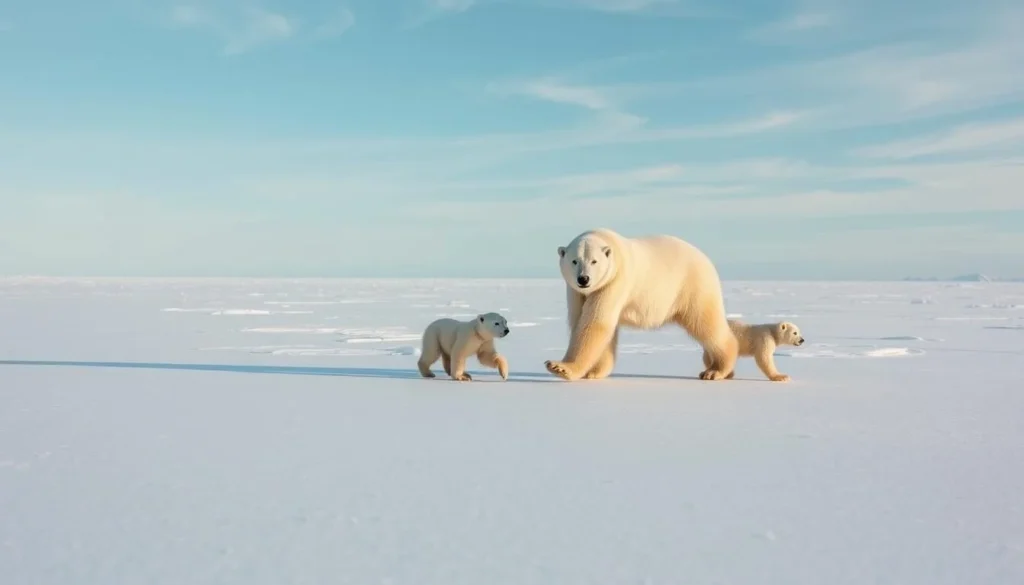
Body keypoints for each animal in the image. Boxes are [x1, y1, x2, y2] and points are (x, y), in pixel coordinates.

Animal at [544, 228, 738, 381]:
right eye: (574, 261)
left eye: (594, 261)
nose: (583, 279)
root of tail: (706, 259)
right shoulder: (577, 292)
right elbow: (585, 322)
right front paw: (594, 372)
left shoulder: (615, 280)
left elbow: (594, 323)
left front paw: (560, 367)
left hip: (693, 287)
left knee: (705, 323)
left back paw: (715, 371)